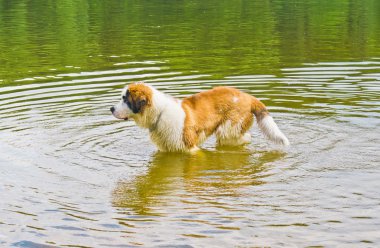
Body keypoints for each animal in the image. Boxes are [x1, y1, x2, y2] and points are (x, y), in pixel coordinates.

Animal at [111, 82, 290, 152]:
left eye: (125, 99)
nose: (111, 108)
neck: (159, 112)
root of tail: (248, 96)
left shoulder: (190, 148)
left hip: (228, 129)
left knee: (246, 137)